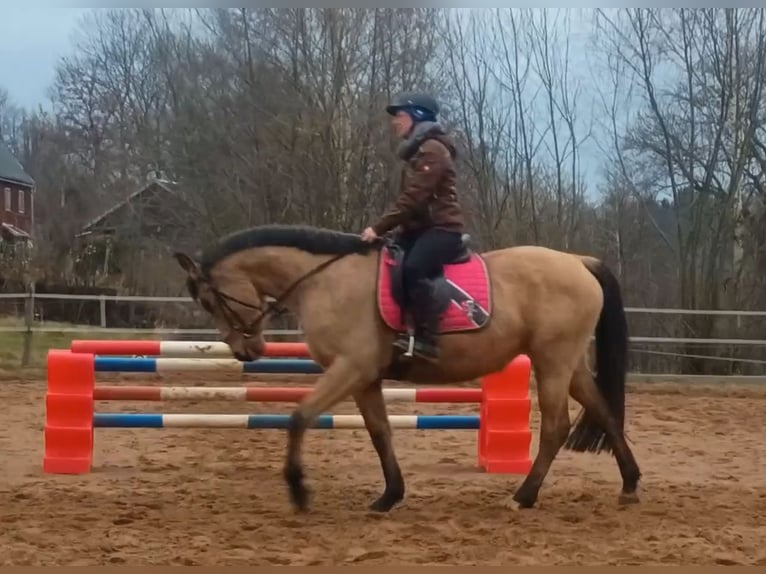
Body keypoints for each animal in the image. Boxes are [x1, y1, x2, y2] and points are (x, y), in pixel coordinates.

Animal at [173, 223, 641, 514]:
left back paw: (523, 495)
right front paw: (389, 496)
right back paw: (630, 485)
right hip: (567, 363)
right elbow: (380, 433)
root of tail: (578, 261)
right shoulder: (365, 379)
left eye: (211, 300)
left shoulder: (349, 368)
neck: (325, 280)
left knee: (557, 427)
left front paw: (299, 490)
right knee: (603, 411)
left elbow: (300, 417)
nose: (245, 350)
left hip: (552, 362)